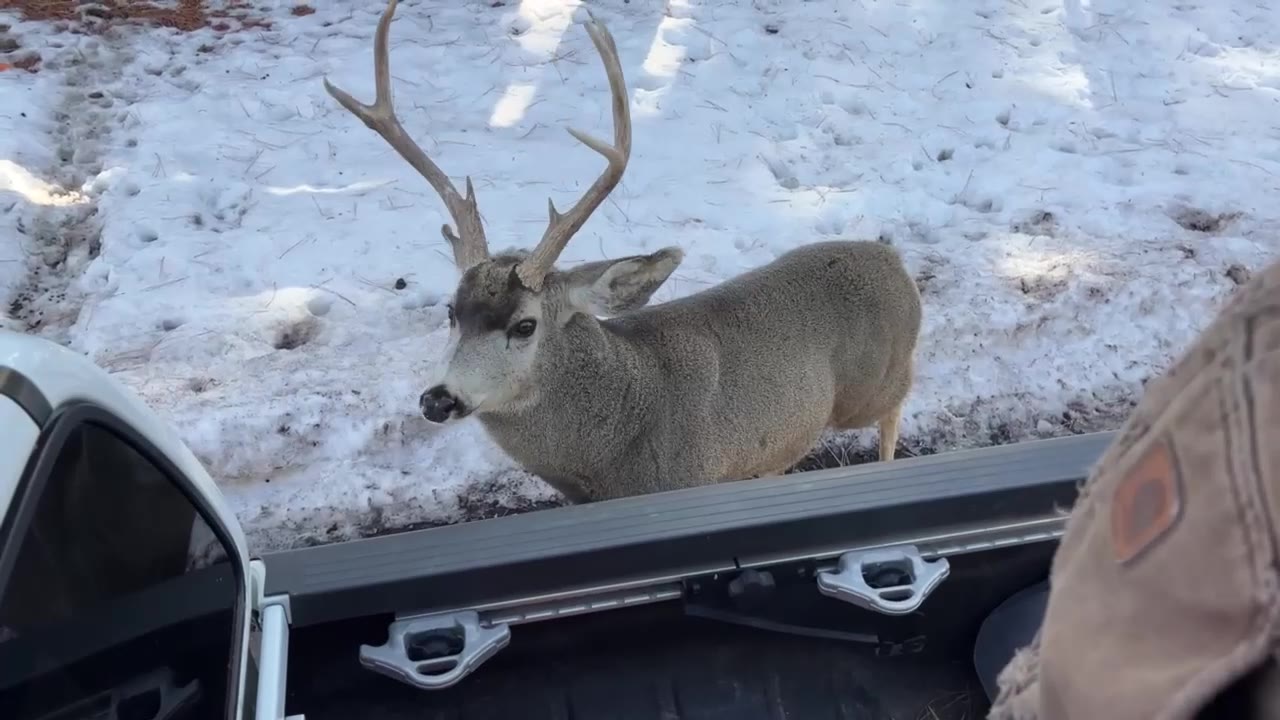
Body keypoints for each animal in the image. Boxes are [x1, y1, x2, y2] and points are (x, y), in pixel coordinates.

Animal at [324, 0, 923, 503]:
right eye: (450, 311)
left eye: (525, 325)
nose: (437, 400)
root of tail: (894, 262)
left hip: (873, 385)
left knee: (895, 411)